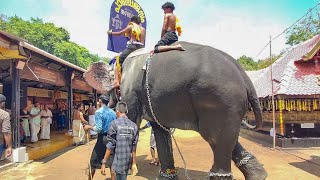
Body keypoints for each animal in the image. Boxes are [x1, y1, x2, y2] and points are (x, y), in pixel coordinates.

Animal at [84, 41, 268, 179]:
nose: (106, 102)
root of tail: (243, 74)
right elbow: (160, 130)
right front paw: (166, 176)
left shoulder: (131, 91)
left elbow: (133, 121)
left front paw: (124, 170)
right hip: (228, 105)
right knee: (224, 138)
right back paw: (259, 175)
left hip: (220, 99)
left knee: (214, 138)